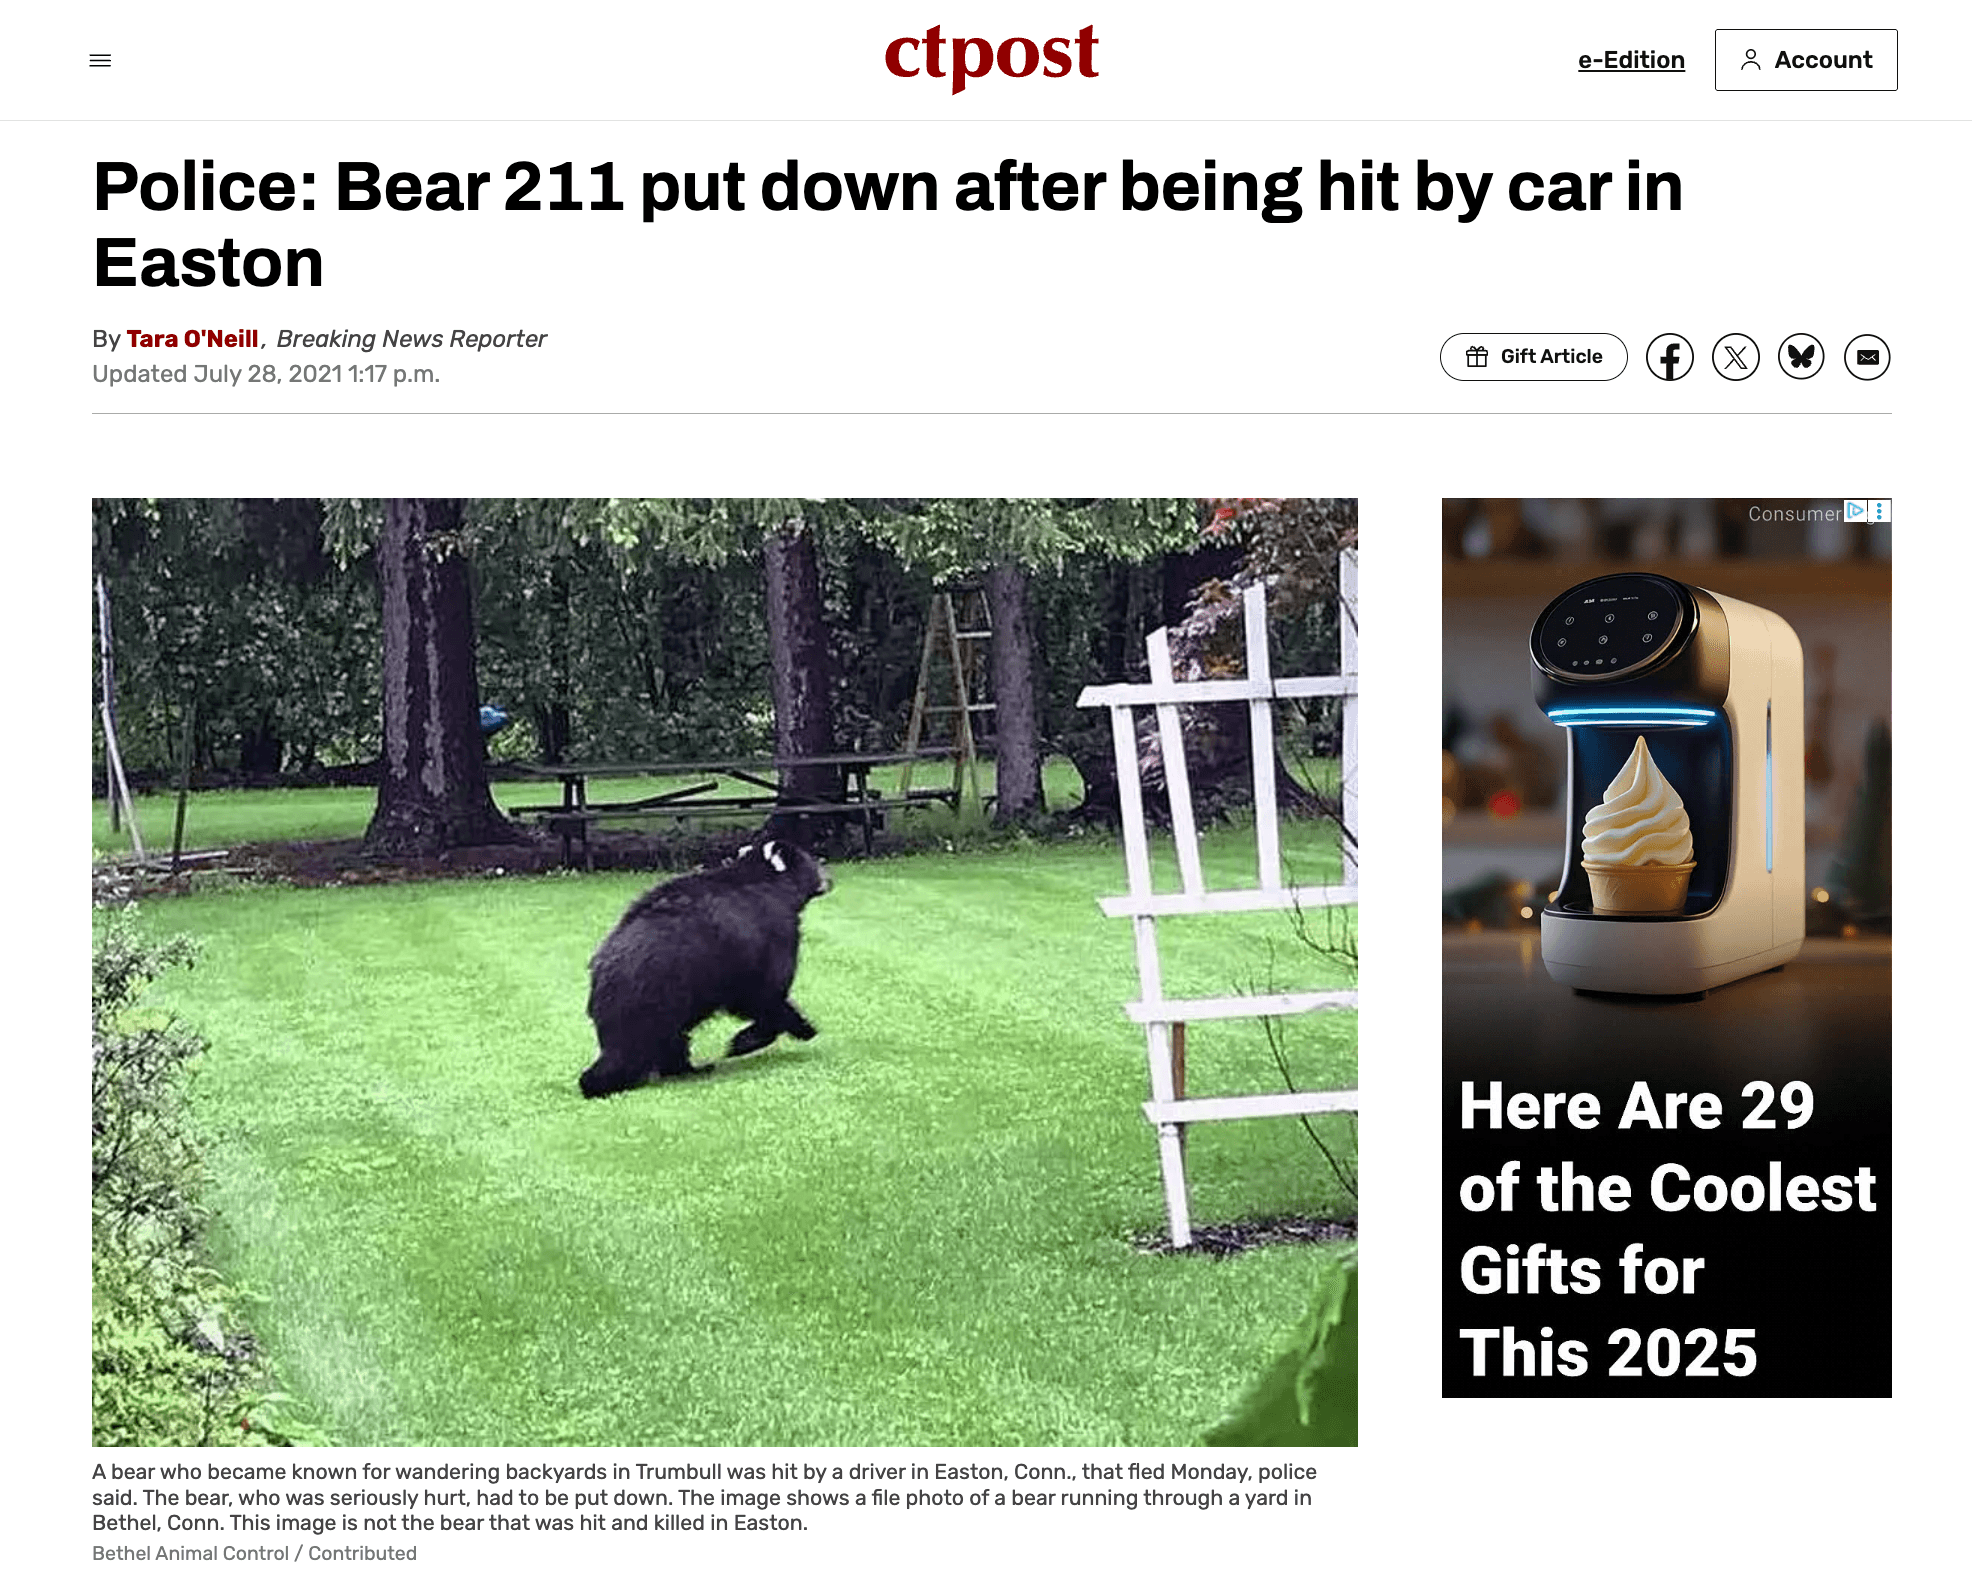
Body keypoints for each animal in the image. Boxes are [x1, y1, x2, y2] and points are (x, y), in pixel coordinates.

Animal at [578, 837, 831, 1098]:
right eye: (811, 860)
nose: (829, 877)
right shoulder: (770, 936)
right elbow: (764, 994)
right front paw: (782, 1031)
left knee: (672, 1041)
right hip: (657, 999)